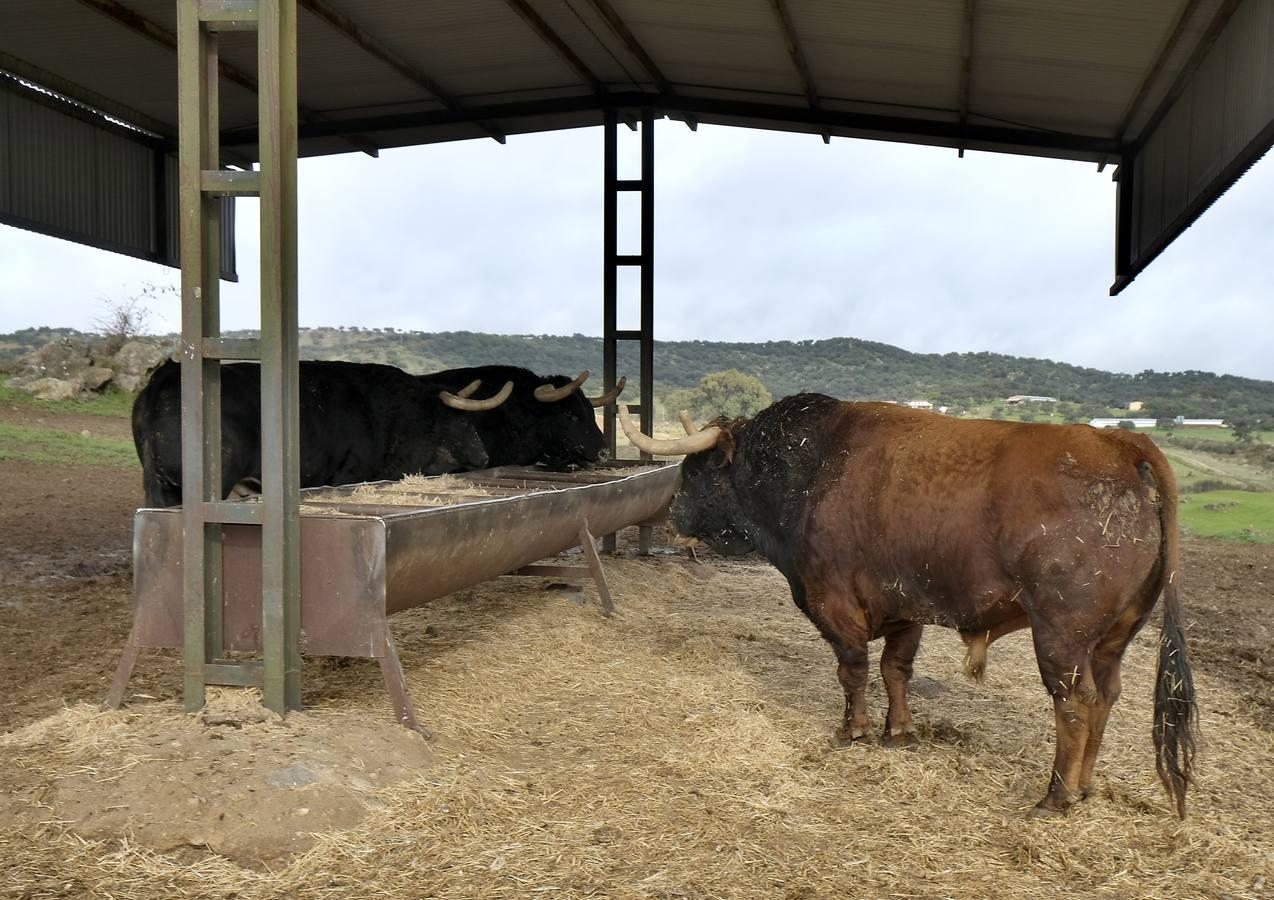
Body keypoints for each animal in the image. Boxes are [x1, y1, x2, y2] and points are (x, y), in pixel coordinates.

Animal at [621, 392, 1197, 815]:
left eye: (696, 471)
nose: (672, 515)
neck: (810, 470)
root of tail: (1117, 441)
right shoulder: (905, 607)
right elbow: (895, 669)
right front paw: (898, 730)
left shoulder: (833, 601)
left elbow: (853, 669)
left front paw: (852, 729)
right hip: (1113, 637)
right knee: (1106, 698)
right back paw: (1085, 787)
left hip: (1061, 633)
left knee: (1075, 704)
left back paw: (1056, 796)